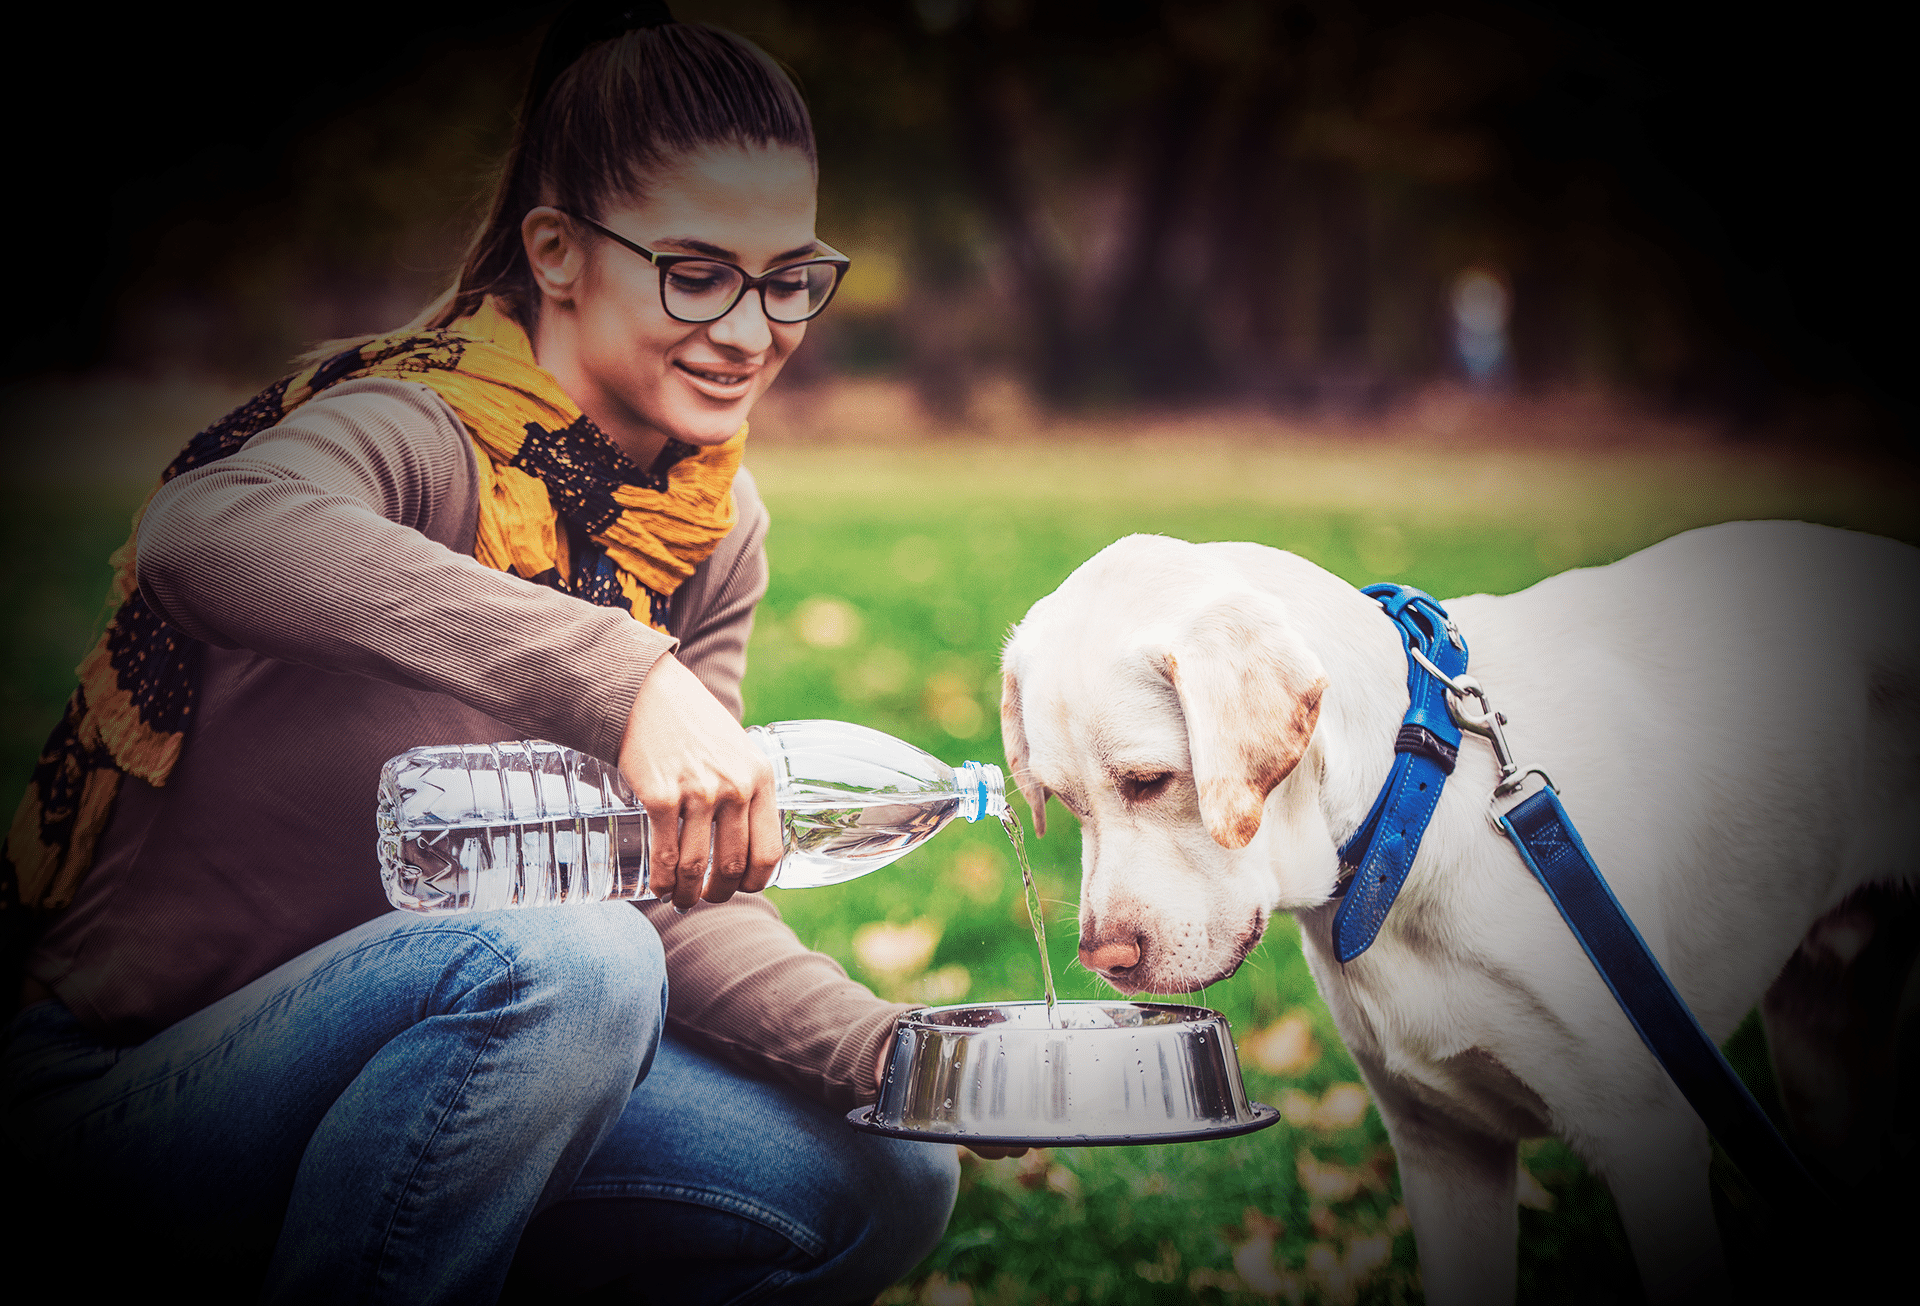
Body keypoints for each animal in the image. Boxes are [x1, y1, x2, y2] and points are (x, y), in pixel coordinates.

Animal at [998, 522, 1920, 1306]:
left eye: (1150, 781)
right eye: (1062, 801)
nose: (1104, 960)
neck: (1411, 807)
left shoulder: (1652, 1145)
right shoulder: (1441, 1148)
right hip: (1822, 1058)